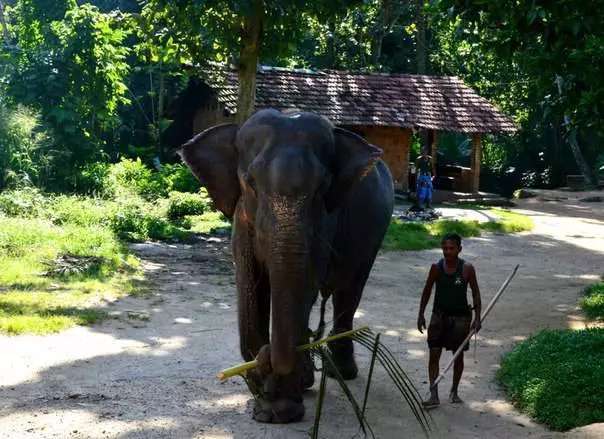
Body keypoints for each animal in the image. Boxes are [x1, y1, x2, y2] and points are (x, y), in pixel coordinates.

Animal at [177, 109, 394, 426]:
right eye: (251, 183)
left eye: (322, 187)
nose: (266, 362)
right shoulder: (243, 219)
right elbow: (249, 284)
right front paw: (265, 397)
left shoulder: (325, 221)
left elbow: (305, 283)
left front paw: (281, 407)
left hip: (375, 236)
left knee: (349, 291)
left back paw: (340, 372)